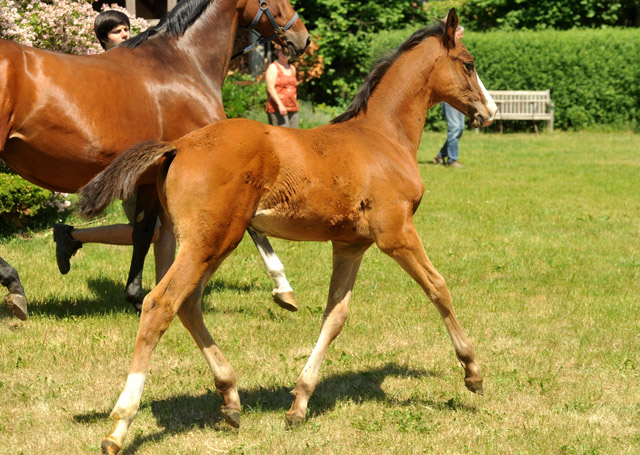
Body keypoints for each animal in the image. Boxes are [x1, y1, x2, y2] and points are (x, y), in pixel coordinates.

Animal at [0, 0, 310, 320]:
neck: (182, 65)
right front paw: (283, 288)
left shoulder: (149, 176)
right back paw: (15, 286)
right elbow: (249, 226)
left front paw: (138, 297)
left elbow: (143, 233)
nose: (303, 38)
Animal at [80, 7, 498, 452]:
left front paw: (299, 403)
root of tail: (179, 146)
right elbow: (438, 287)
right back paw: (119, 425)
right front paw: (472, 372)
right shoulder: (396, 233)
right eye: (469, 64)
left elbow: (335, 315)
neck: (382, 138)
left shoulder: (350, 245)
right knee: (160, 304)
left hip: (214, 242)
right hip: (210, 241)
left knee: (188, 303)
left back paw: (231, 399)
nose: (490, 110)